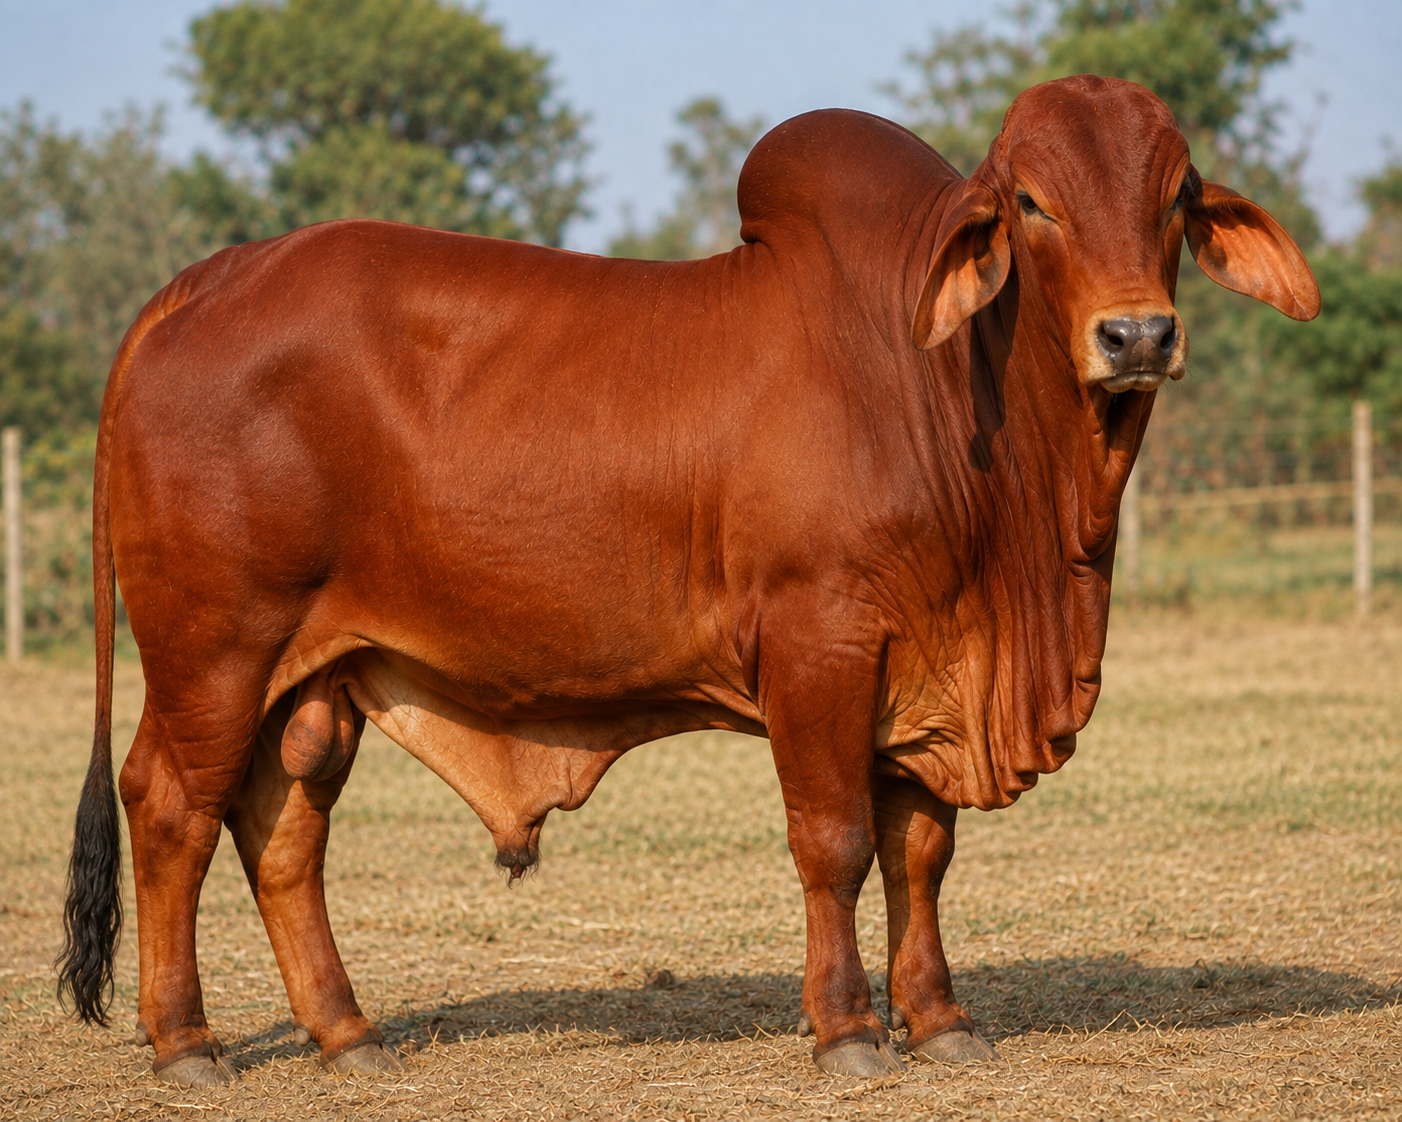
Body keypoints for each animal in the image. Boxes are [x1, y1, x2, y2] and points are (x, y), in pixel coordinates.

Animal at [56, 75, 1318, 1086]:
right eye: (1032, 203)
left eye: (1173, 198)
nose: (1136, 336)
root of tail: (201, 283)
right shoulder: (820, 644)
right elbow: (835, 843)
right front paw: (847, 1031)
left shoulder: (923, 671)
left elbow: (921, 852)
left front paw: (941, 1020)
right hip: (215, 649)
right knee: (169, 808)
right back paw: (188, 1045)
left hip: (312, 675)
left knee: (280, 828)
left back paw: (348, 1034)